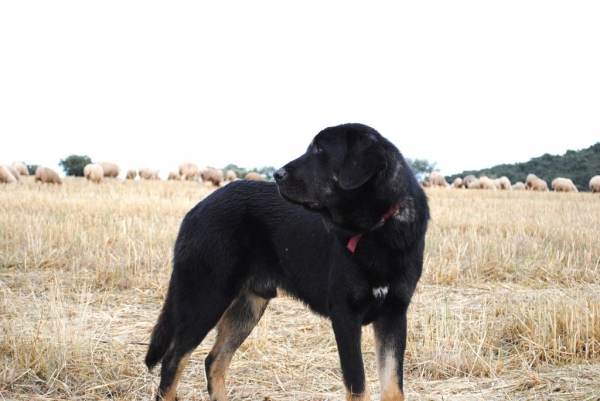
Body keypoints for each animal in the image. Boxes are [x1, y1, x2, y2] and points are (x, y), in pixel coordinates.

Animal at [145, 123, 426, 398]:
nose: (276, 174)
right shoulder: (345, 316)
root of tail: (195, 209)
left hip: (247, 307)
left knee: (214, 362)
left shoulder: (393, 315)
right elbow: (358, 387)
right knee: (172, 362)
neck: (376, 229)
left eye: (320, 150)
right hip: (206, 299)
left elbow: (393, 389)